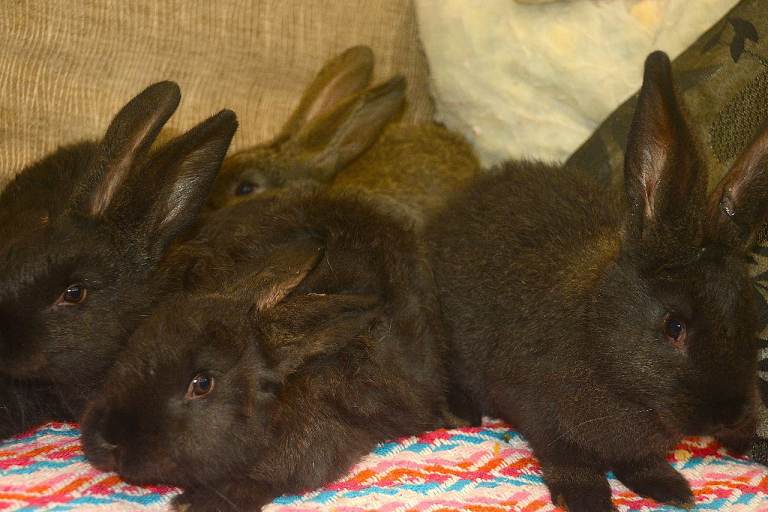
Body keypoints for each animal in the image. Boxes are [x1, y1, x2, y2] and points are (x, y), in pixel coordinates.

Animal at [425, 51, 763, 512]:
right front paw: (587, 498)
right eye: (673, 326)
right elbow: (570, 461)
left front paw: (670, 488)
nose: (730, 416)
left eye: (751, 316)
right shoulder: (541, 418)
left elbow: (640, 462)